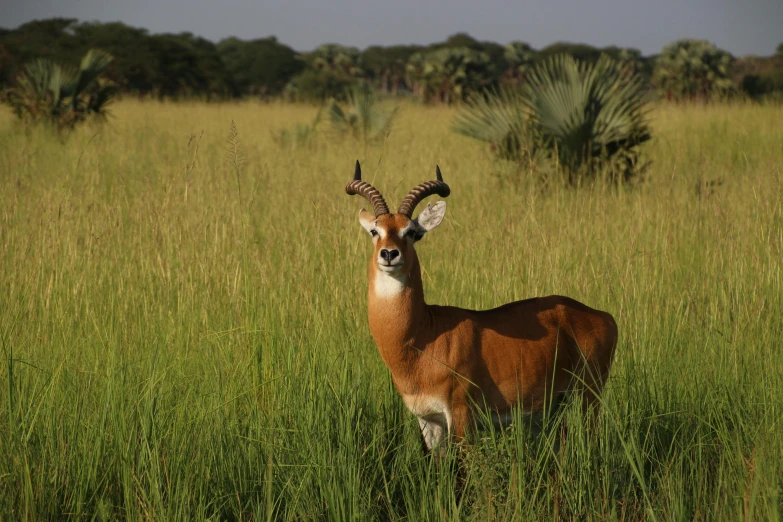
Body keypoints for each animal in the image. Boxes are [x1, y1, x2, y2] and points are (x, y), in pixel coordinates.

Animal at [348, 160, 620, 448]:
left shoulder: (461, 413)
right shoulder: (429, 420)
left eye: (411, 232)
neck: (421, 338)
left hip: (588, 398)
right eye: (375, 230)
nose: (389, 253)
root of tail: (604, 316)